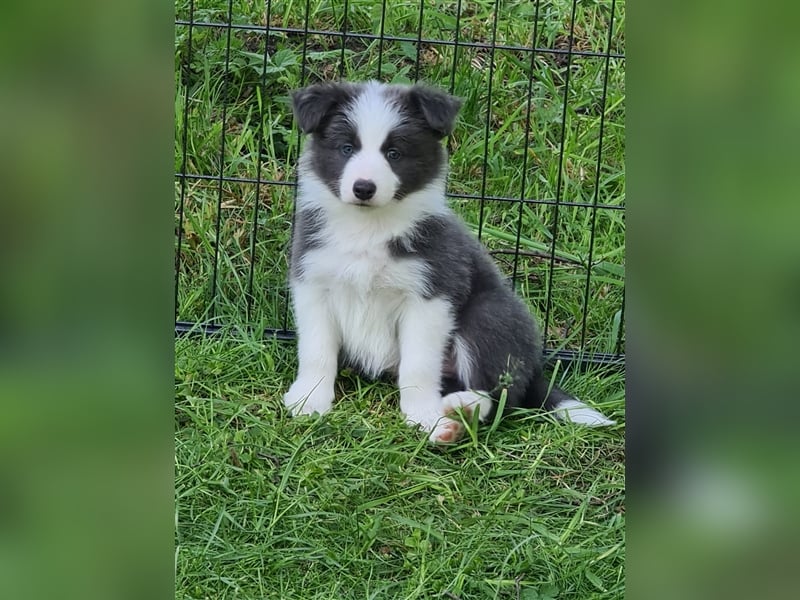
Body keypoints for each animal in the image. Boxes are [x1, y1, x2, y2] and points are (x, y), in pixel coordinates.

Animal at [282, 79, 612, 442]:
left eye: (394, 153)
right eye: (346, 148)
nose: (364, 188)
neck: (368, 228)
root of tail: (534, 369)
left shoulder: (430, 293)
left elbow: (419, 364)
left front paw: (423, 415)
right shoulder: (313, 283)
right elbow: (316, 351)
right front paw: (309, 399)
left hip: (488, 315)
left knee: (504, 397)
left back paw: (460, 412)